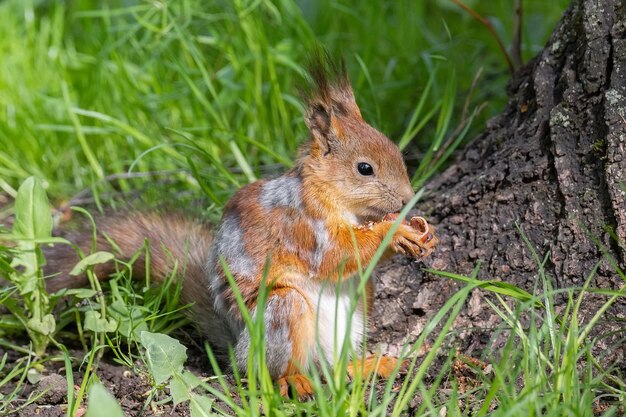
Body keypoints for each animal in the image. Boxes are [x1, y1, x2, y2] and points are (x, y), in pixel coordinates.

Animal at [44, 55, 436, 396]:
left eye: (397, 151)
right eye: (364, 168)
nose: (407, 198)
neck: (343, 204)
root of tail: (239, 349)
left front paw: (421, 233)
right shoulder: (301, 227)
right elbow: (335, 257)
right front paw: (393, 231)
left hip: (358, 310)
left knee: (334, 368)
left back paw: (368, 365)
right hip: (280, 314)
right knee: (274, 371)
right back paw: (293, 380)